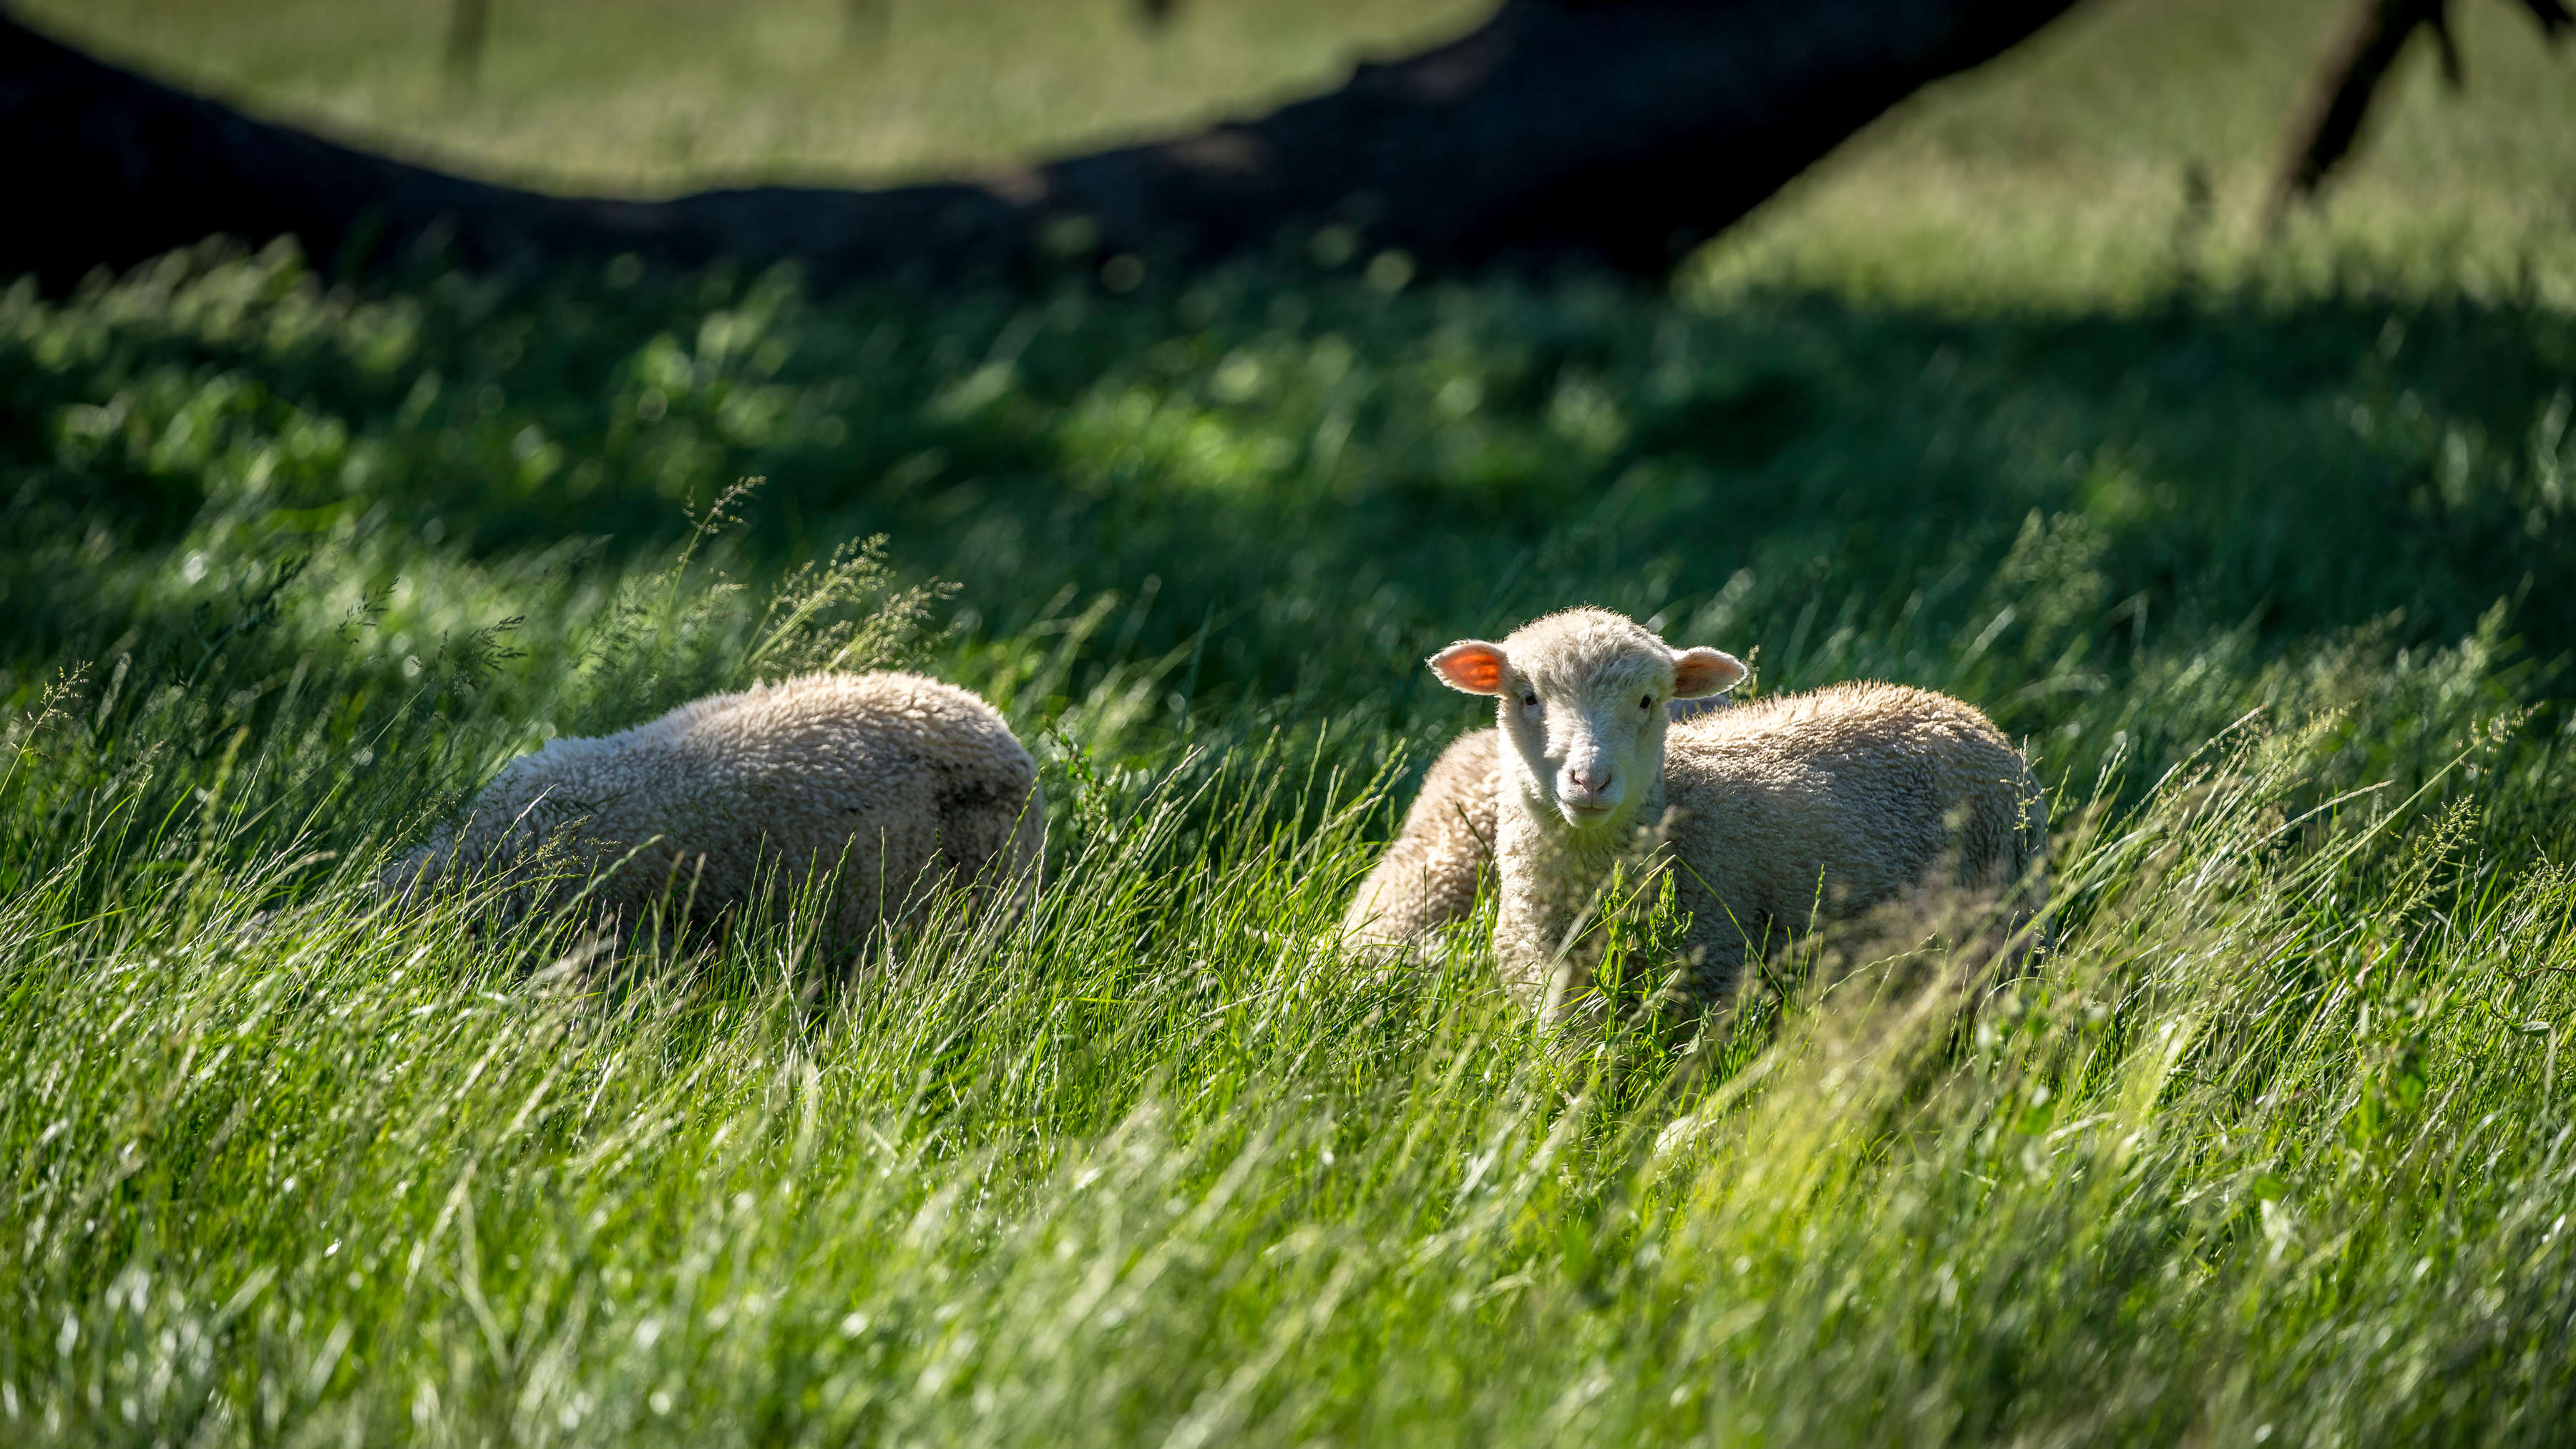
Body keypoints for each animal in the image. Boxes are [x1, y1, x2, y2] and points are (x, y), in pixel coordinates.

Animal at [1422, 603, 2040, 1020]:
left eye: (1648, 701)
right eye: (1527, 696)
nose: (1591, 780)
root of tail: (1958, 709)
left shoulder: (1713, 972)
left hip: (2011, 924)